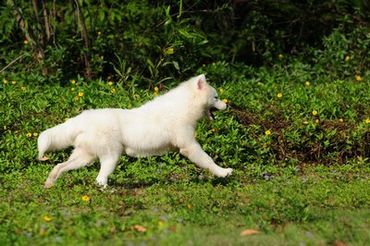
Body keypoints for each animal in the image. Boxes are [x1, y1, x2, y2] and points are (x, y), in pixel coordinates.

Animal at [39, 74, 233, 187]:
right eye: (216, 97)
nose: (227, 105)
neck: (184, 106)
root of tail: (83, 118)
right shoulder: (189, 146)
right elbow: (208, 160)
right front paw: (223, 172)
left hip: (85, 157)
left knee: (60, 167)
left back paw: (49, 184)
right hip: (111, 156)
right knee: (100, 179)